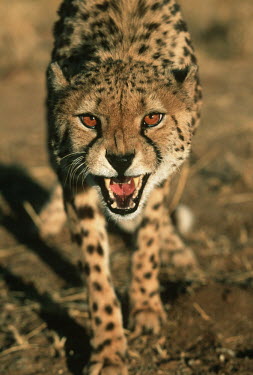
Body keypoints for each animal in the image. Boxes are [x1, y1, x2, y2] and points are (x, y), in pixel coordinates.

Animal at [44, 0, 202, 375]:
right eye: (89, 119)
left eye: (152, 118)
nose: (120, 160)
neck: (122, 49)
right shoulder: (73, 178)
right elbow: (95, 270)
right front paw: (109, 350)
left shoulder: (157, 181)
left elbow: (148, 238)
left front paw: (145, 307)